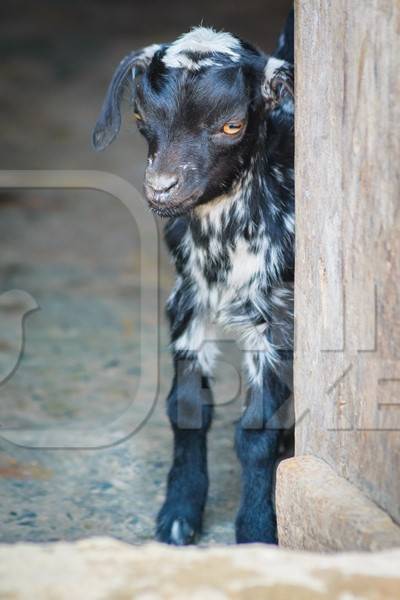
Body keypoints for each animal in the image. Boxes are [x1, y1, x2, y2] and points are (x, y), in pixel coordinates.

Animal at [93, 12, 294, 548]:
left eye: (232, 124)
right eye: (140, 118)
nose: (163, 188)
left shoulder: (278, 318)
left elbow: (257, 430)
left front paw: (257, 529)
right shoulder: (187, 299)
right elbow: (185, 409)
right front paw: (179, 513)